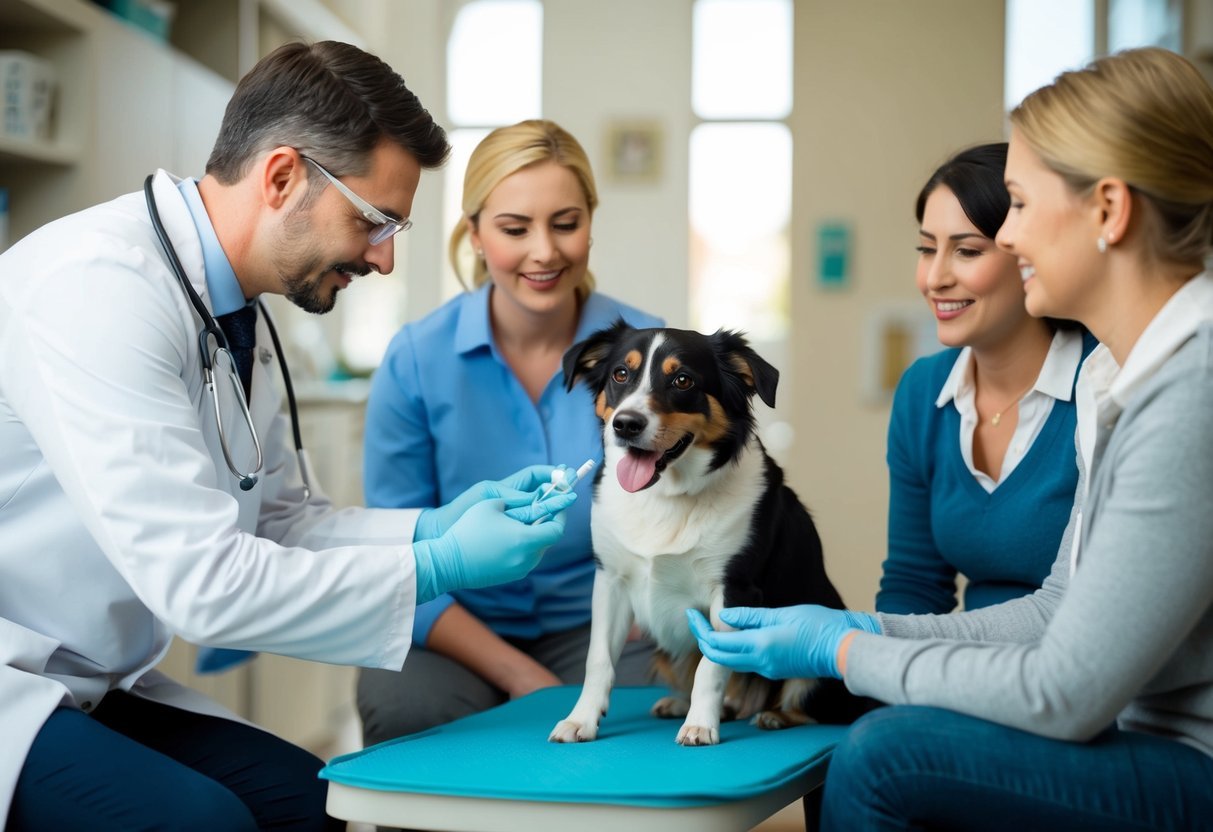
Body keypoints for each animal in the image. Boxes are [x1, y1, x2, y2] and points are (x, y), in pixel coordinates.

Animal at [550, 322, 873, 747]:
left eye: (683, 380)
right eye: (620, 374)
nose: (626, 424)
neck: (666, 496)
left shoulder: (734, 588)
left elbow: (713, 664)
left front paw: (701, 725)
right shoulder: (610, 580)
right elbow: (598, 659)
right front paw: (581, 719)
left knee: (814, 704)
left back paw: (772, 715)